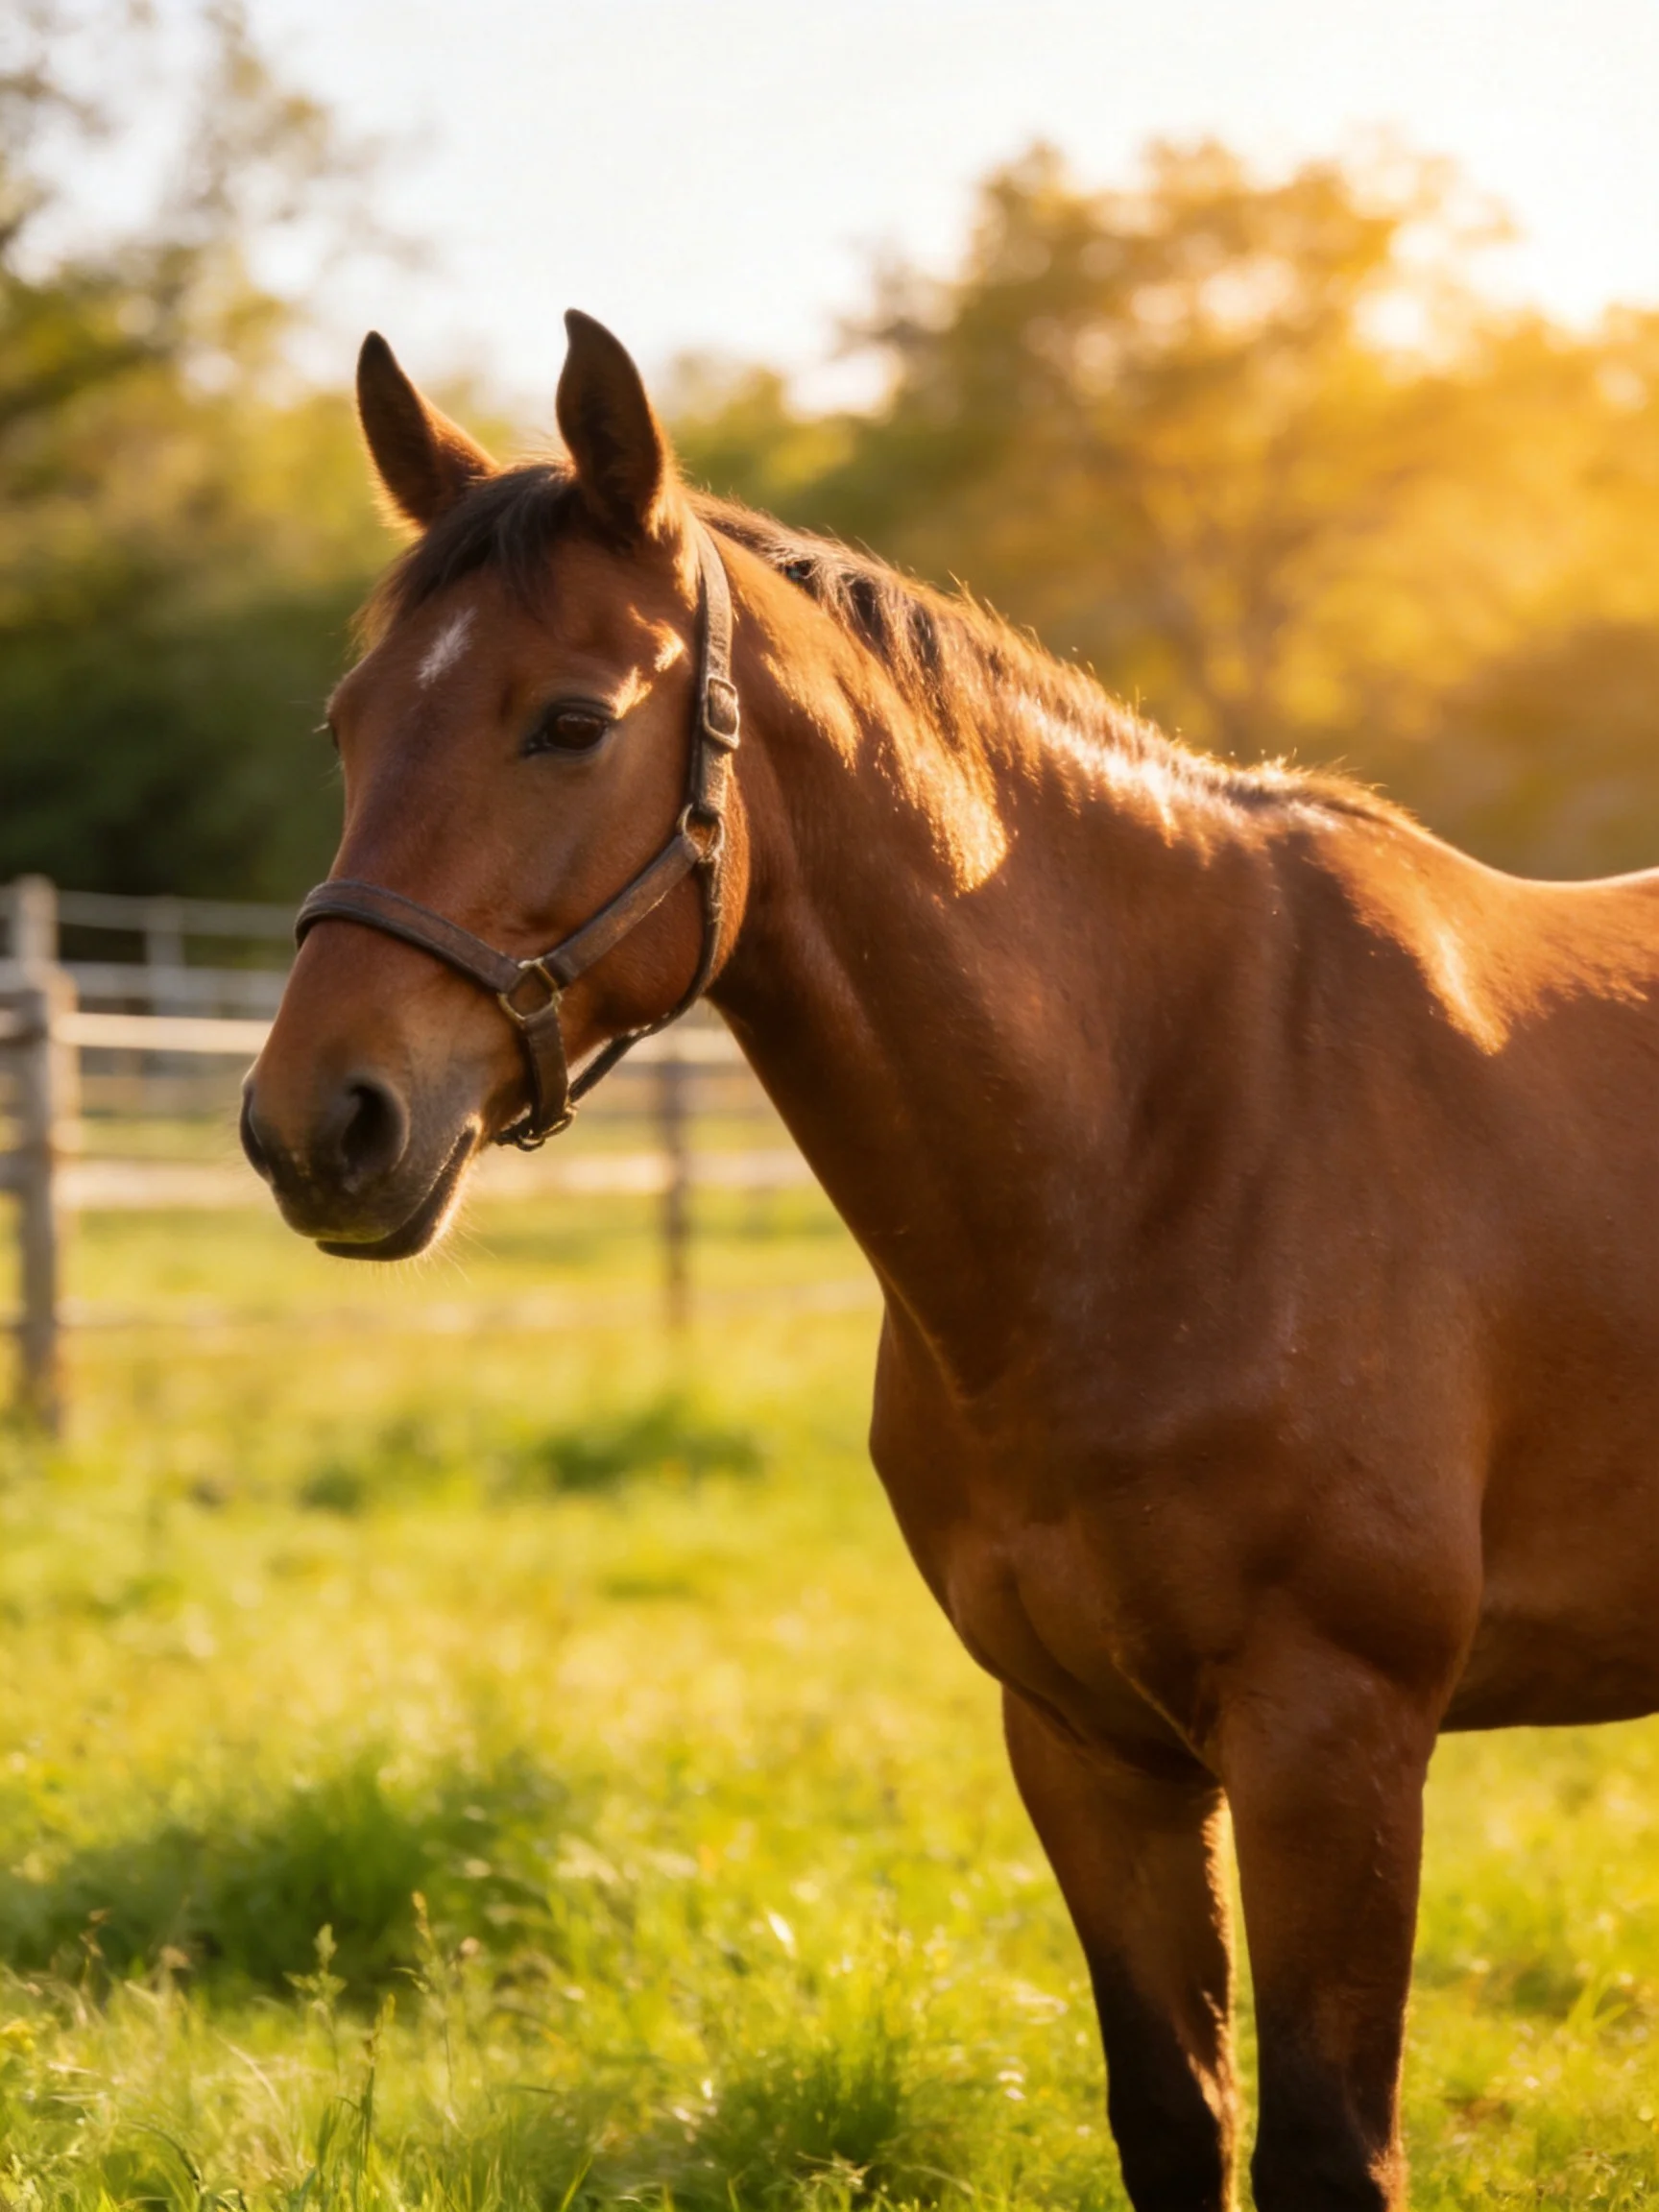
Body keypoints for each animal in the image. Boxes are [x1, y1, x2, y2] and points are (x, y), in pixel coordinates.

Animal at [241, 309, 1659, 2212]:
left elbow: (1322, 2145)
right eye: (350, 723)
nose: (317, 1124)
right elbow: (1175, 2115)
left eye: (569, 720)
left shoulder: (1333, 1740)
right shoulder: (1083, 1742)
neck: (1171, 1136)